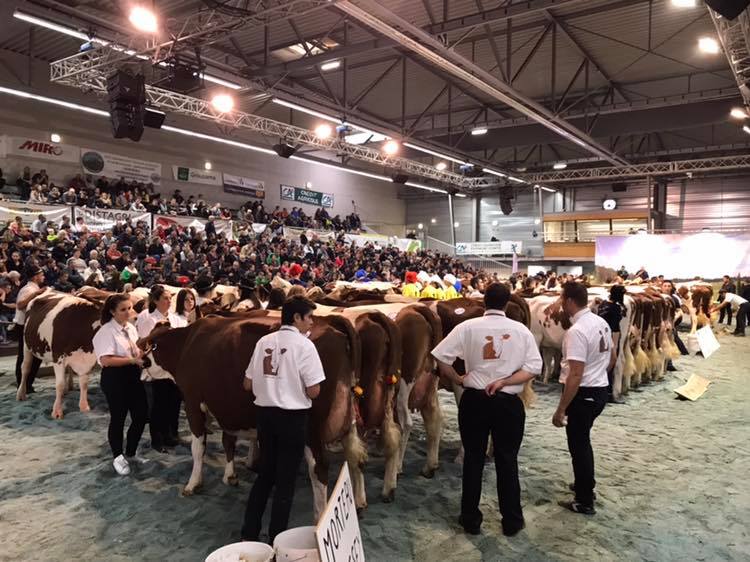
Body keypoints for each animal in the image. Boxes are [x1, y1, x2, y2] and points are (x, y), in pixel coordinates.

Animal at [16, 290, 103, 418]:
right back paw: (21, 394)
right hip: (26, 345)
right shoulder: (58, 357)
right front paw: (57, 411)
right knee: (25, 368)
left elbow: (84, 383)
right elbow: (59, 384)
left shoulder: (87, 358)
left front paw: (84, 406)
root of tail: (47, 289)